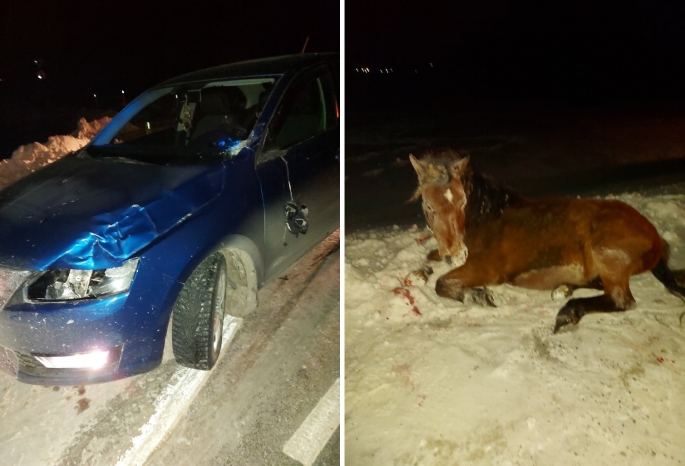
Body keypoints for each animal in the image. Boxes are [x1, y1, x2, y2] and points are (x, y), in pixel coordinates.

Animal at [408, 149, 684, 332]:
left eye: (462, 201)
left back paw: (568, 313)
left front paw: (479, 296)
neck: (488, 216)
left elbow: (442, 284)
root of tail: (655, 236)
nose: (456, 254)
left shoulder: (485, 269)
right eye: (428, 205)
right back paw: (564, 290)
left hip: (606, 254)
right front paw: (418, 274)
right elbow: (429, 259)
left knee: (620, 299)